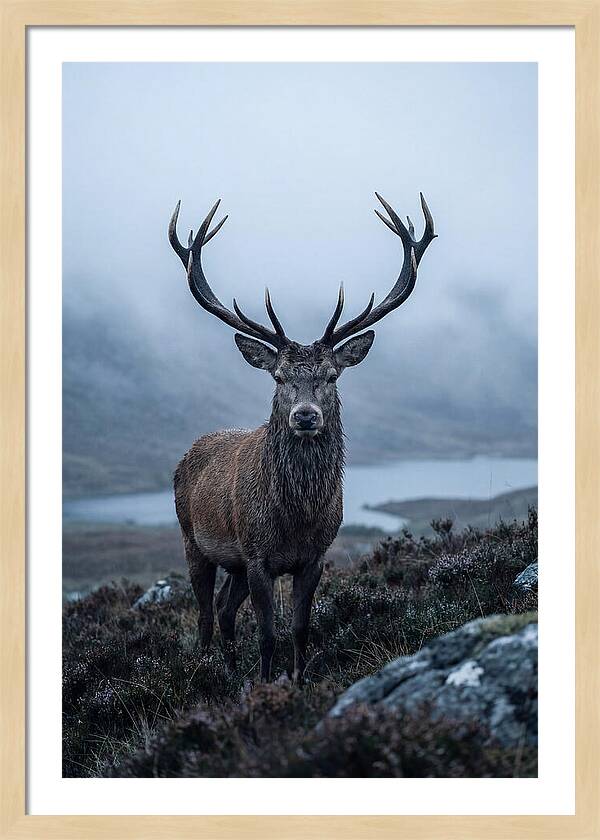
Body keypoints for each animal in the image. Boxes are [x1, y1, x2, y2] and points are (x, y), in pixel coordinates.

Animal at [169, 192, 435, 683]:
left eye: (331, 375)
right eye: (278, 377)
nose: (306, 415)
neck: (295, 518)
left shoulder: (313, 557)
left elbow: (299, 628)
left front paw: (296, 680)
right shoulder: (257, 556)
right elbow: (267, 634)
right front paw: (265, 683)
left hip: (233, 562)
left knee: (224, 610)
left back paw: (230, 670)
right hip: (193, 539)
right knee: (204, 614)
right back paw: (207, 669)